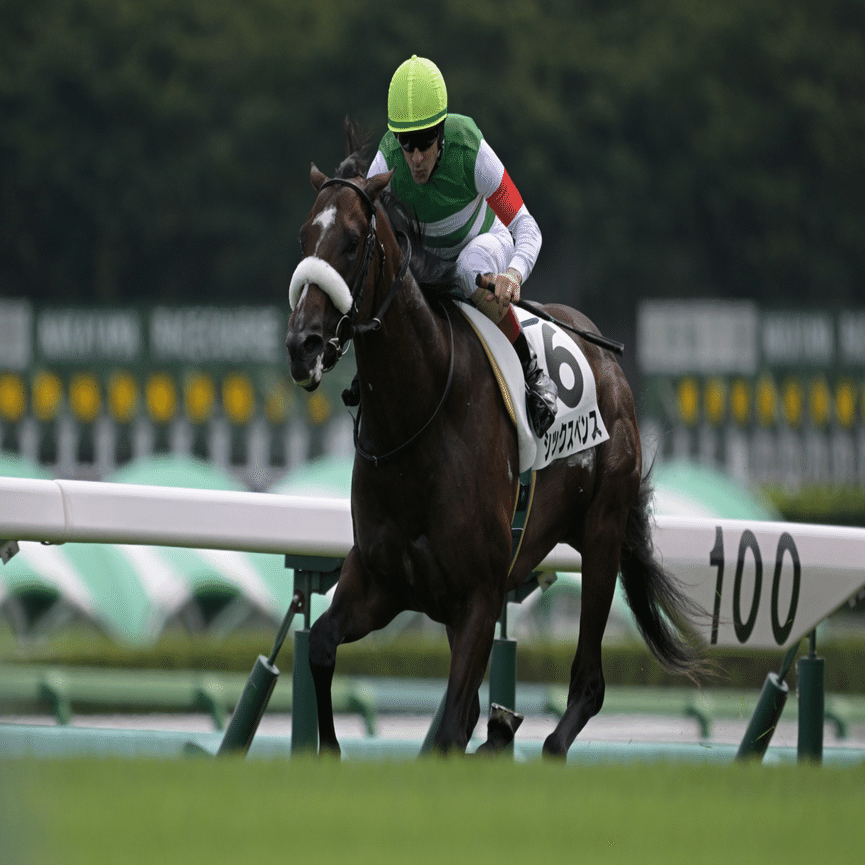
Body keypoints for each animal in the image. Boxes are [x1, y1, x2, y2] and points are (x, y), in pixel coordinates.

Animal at [284, 126, 707, 757]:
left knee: (589, 685)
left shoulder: (480, 597)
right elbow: (320, 644)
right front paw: (329, 753)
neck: (419, 420)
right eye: (306, 235)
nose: (302, 345)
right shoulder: (381, 579)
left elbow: (449, 729)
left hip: (603, 537)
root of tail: (608, 359)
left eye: (354, 242)